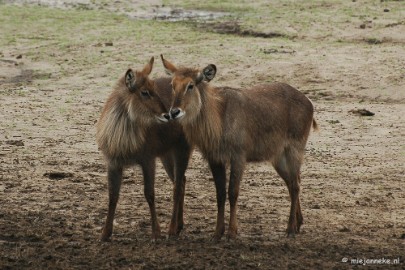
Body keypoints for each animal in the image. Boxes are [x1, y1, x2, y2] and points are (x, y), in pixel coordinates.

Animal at [96, 57, 191, 240]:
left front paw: (156, 232)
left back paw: (171, 229)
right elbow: (112, 195)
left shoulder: (148, 160)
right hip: (166, 155)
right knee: (181, 181)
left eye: (154, 88)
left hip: (182, 149)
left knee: (177, 187)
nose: (167, 115)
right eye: (145, 92)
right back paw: (179, 226)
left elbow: (149, 194)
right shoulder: (113, 163)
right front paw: (105, 233)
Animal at [159, 54, 318, 238]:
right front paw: (217, 232)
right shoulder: (215, 159)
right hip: (278, 158)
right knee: (293, 182)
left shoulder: (238, 156)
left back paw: (290, 228)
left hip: (294, 150)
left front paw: (232, 232)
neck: (219, 117)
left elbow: (233, 192)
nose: (174, 112)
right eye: (173, 85)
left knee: (295, 185)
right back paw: (298, 223)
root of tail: (308, 101)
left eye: (190, 85)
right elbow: (220, 194)